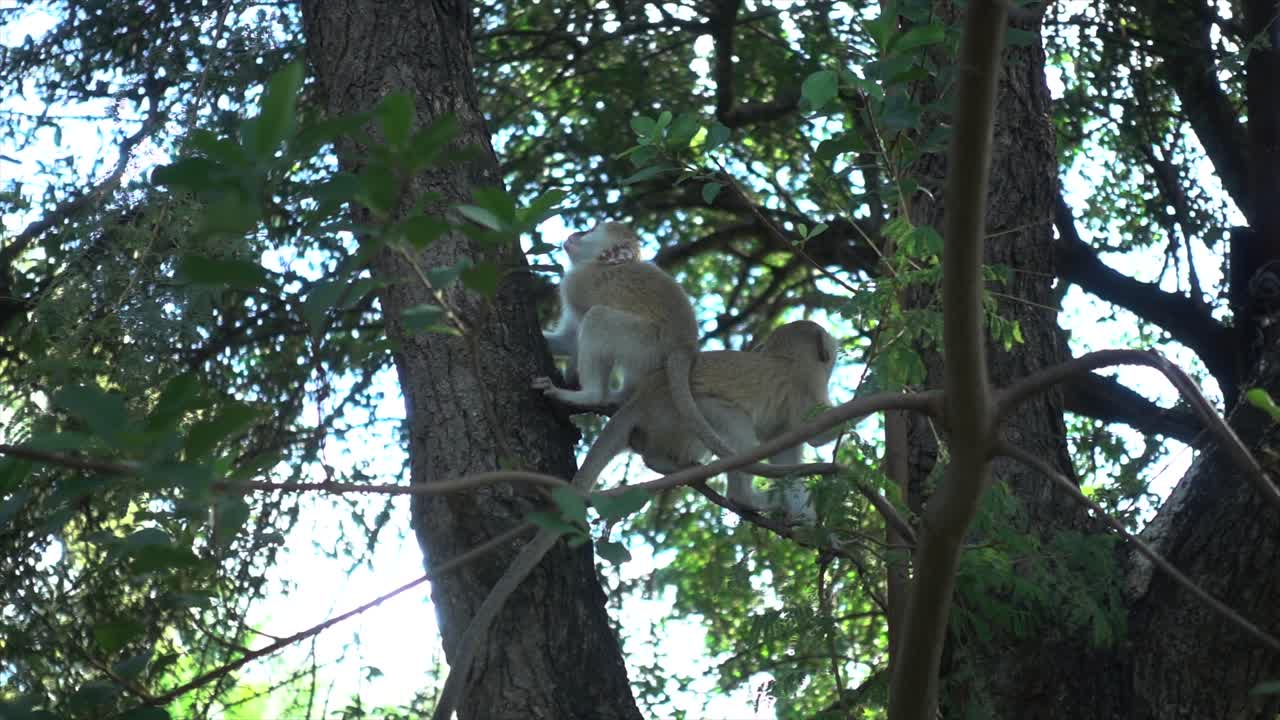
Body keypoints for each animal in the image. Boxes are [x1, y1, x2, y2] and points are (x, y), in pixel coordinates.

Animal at [430, 321, 842, 720]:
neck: (786, 357)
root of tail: (643, 397)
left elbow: (790, 455)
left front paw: (810, 522)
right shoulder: (806, 387)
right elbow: (818, 436)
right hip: (681, 417)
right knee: (729, 417)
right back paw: (737, 493)